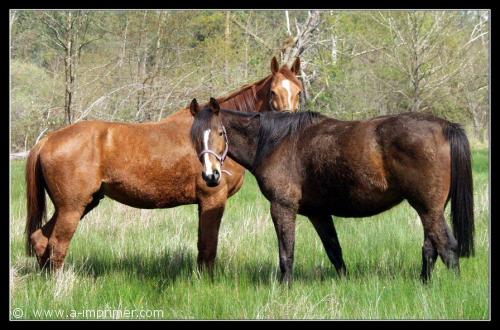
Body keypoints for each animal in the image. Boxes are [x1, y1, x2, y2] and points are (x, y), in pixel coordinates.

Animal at [25, 56, 302, 272]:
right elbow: (209, 248)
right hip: (72, 208)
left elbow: (203, 246)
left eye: (299, 90)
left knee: (41, 239)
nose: (288, 124)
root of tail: (49, 139)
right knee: (57, 245)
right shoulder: (213, 197)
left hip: (81, 204)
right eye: (273, 92)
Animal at [189, 98, 474, 286]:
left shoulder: (282, 207)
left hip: (428, 209)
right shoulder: (319, 213)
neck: (275, 141)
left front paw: (285, 287)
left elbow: (286, 252)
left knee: (448, 248)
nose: (211, 176)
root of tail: (445, 126)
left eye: (220, 132)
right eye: (194, 136)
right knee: (431, 247)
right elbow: (334, 250)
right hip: (430, 209)